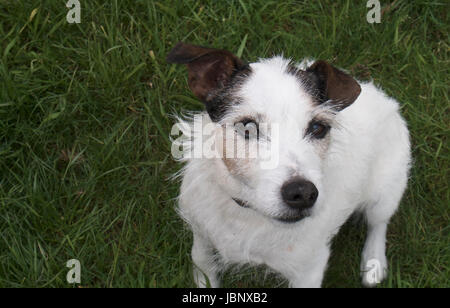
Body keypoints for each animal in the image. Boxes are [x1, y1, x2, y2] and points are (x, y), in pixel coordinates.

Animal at [166, 42, 412, 288]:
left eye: (318, 128)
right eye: (247, 127)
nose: (302, 193)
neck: (248, 212)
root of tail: (384, 99)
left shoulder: (309, 271)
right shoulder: (201, 238)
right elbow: (203, 270)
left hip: (384, 193)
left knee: (378, 224)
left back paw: (373, 263)